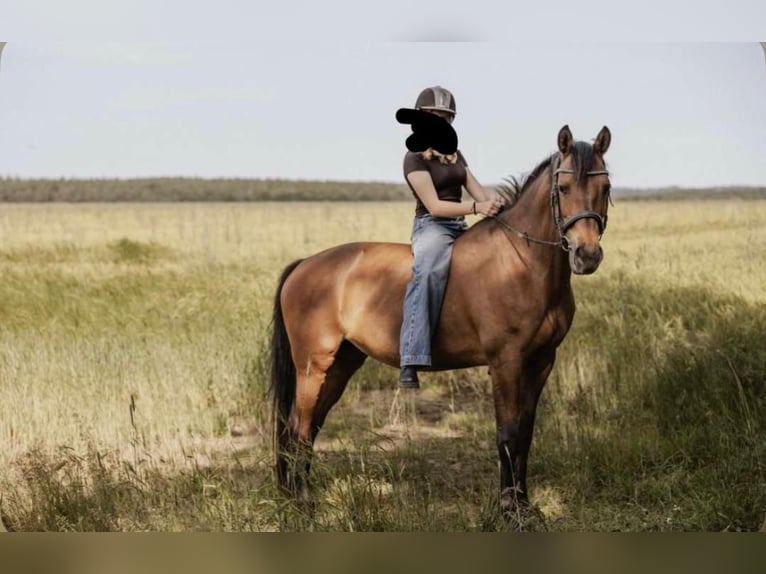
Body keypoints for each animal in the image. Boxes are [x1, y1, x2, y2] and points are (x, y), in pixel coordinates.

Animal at [270, 125, 612, 514]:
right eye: (564, 188)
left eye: (606, 188)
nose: (587, 255)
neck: (521, 263)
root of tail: (304, 264)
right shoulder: (506, 362)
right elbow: (508, 434)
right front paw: (509, 510)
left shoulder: (542, 361)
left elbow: (525, 433)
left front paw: (524, 505)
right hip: (312, 365)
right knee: (298, 426)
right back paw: (302, 502)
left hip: (341, 363)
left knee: (310, 426)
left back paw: (298, 496)